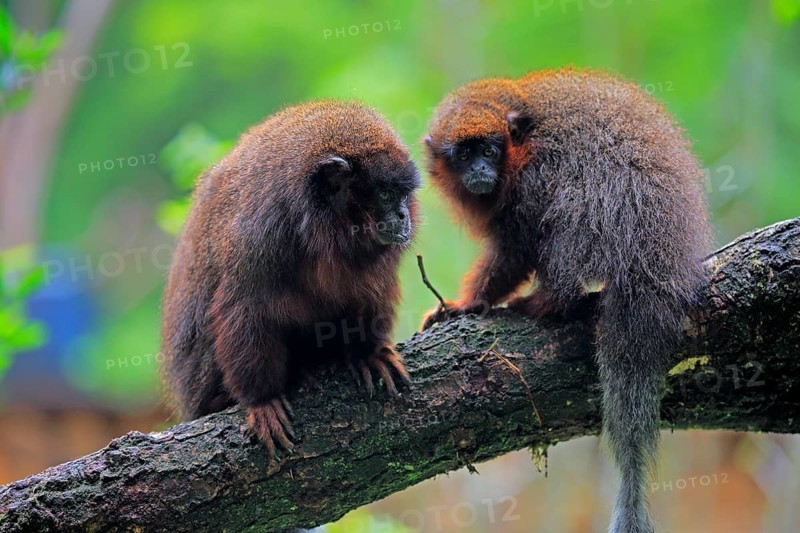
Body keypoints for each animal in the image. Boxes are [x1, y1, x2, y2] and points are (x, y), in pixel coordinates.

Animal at [161, 101, 420, 459]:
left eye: (402, 195)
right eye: (384, 194)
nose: (403, 215)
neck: (318, 230)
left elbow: (370, 292)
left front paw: (367, 352)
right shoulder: (260, 235)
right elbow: (243, 311)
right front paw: (262, 400)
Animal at [421, 68, 711, 533]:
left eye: (489, 150)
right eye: (464, 155)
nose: (481, 168)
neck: (523, 138)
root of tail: (654, 254)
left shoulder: (532, 178)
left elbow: (517, 248)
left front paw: (470, 302)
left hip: (606, 212)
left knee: (568, 214)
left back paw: (549, 302)